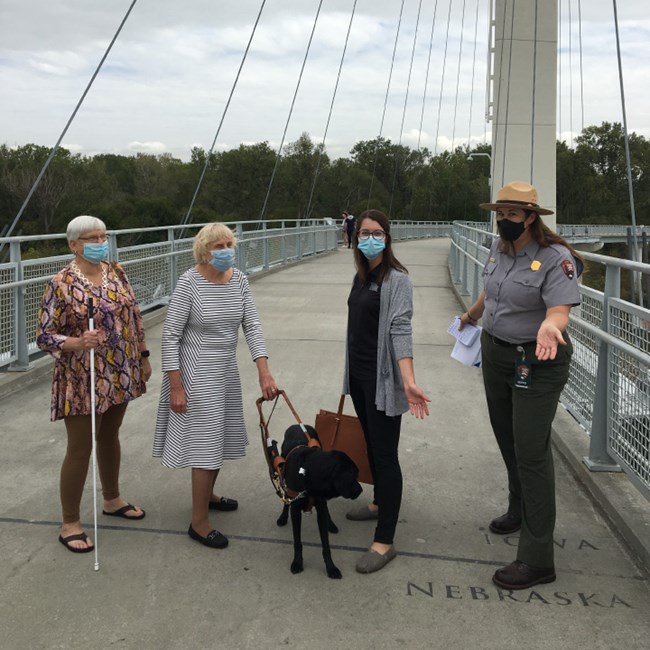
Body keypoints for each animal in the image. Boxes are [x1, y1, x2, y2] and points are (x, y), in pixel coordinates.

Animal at [276, 422, 362, 580]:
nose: (360, 490)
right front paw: (297, 562)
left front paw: (331, 567)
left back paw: (331, 524)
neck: (308, 473)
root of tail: (297, 424)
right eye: (354, 475)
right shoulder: (296, 511)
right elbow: (297, 542)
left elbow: (326, 545)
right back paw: (283, 517)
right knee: (286, 500)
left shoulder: (321, 508)